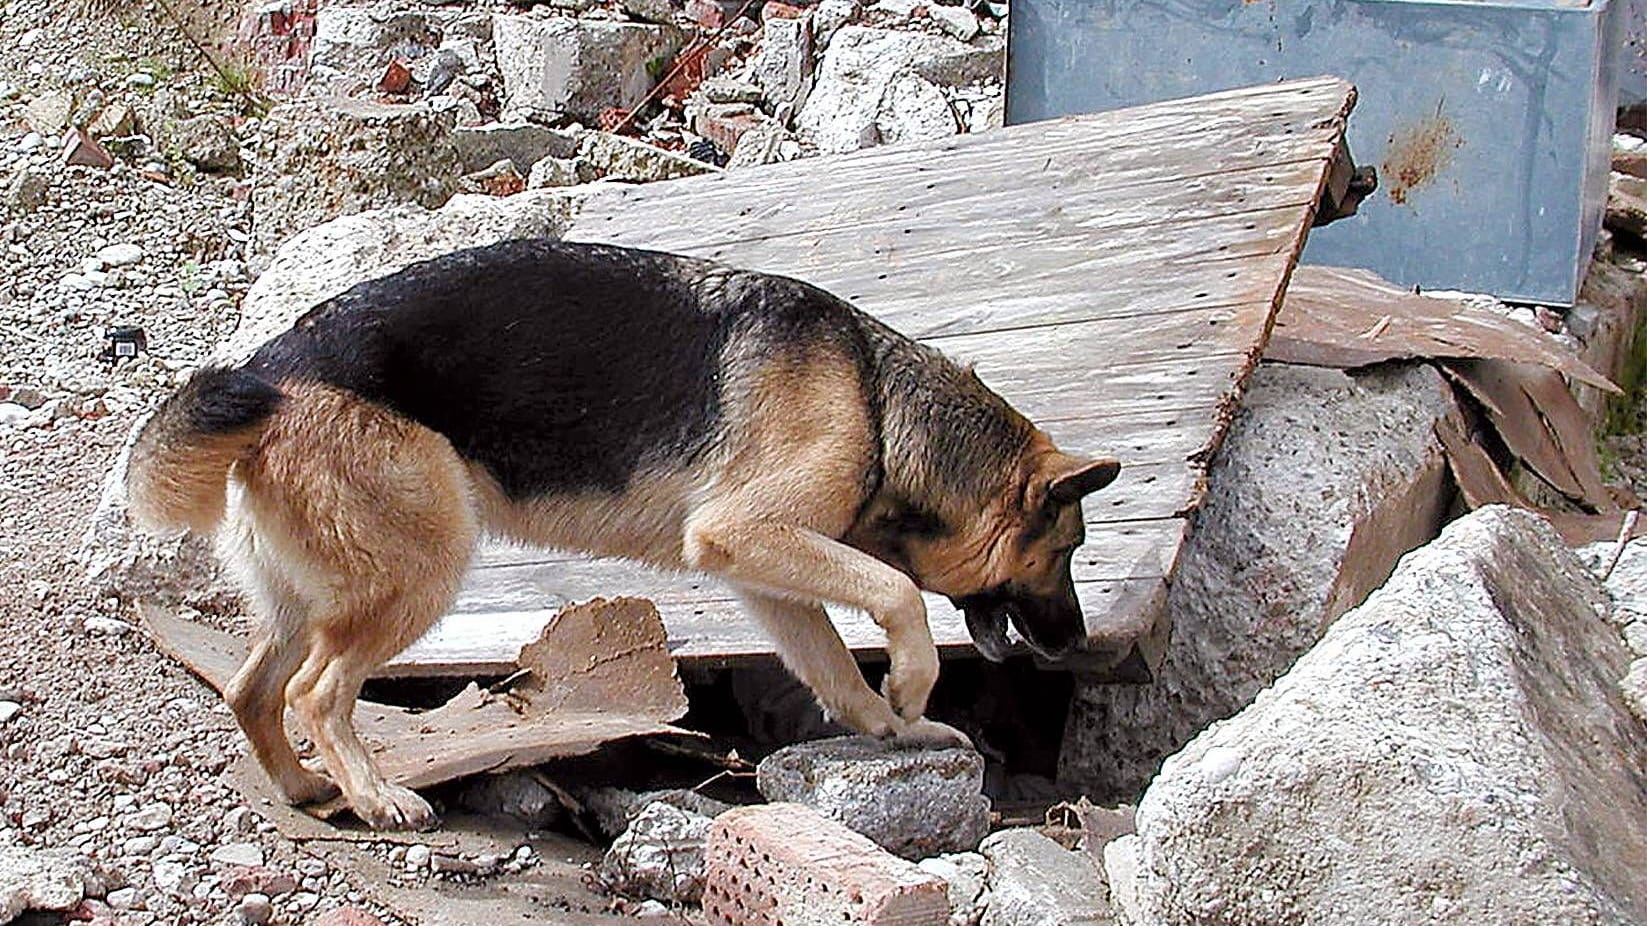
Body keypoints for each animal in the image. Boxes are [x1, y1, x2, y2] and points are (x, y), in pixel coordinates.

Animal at [128, 235, 1119, 820]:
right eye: (1066, 552)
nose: (1077, 645)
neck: (877, 401)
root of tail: (271, 367)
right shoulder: (748, 534)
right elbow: (899, 591)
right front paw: (913, 687)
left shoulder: (766, 575)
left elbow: (836, 667)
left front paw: (891, 728)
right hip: (419, 573)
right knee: (316, 693)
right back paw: (373, 796)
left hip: (312, 597)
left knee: (252, 689)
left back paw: (303, 786)